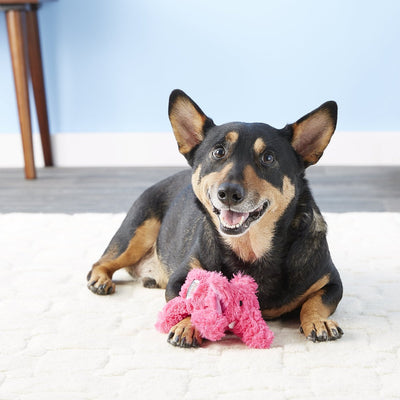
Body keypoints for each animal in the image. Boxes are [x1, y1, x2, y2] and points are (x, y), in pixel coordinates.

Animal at [86, 89, 342, 346]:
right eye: (218, 152)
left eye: (268, 158)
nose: (228, 193)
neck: (251, 249)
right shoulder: (180, 279)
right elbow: (192, 301)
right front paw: (188, 326)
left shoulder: (331, 282)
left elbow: (314, 303)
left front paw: (319, 321)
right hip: (136, 232)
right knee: (101, 262)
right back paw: (100, 280)